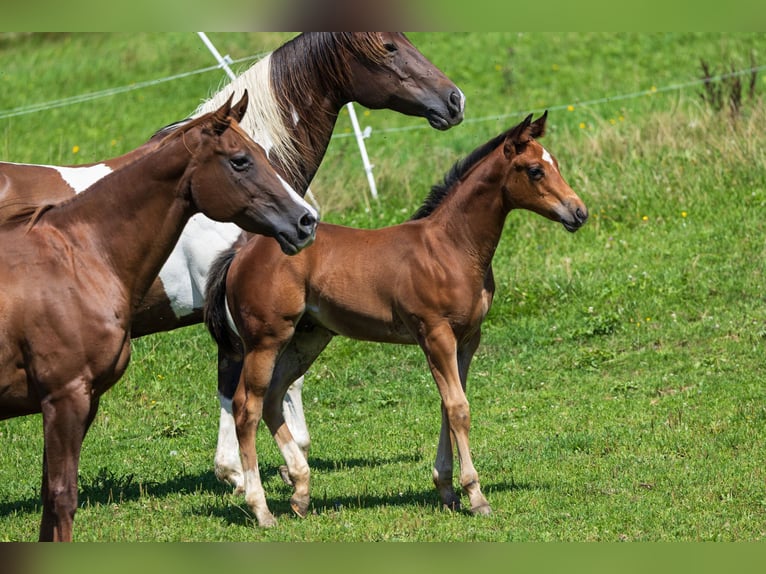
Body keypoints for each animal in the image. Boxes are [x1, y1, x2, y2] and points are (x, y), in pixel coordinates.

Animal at [0, 92, 318, 542]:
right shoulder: (65, 398)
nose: (305, 221)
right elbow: (62, 499)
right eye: (240, 160)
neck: (80, 256)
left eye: (262, 152)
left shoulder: (77, 402)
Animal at [204, 112, 588, 527]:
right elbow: (458, 408)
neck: (452, 247)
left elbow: (449, 405)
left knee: (273, 397)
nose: (579, 212)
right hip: (266, 340)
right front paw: (475, 495)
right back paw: (261, 508)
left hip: (308, 337)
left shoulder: (468, 338)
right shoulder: (436, 334)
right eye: (535, 170)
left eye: (555, 163)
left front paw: (447, 490)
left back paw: (301, 492)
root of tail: (241, 252)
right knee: (247, 407)